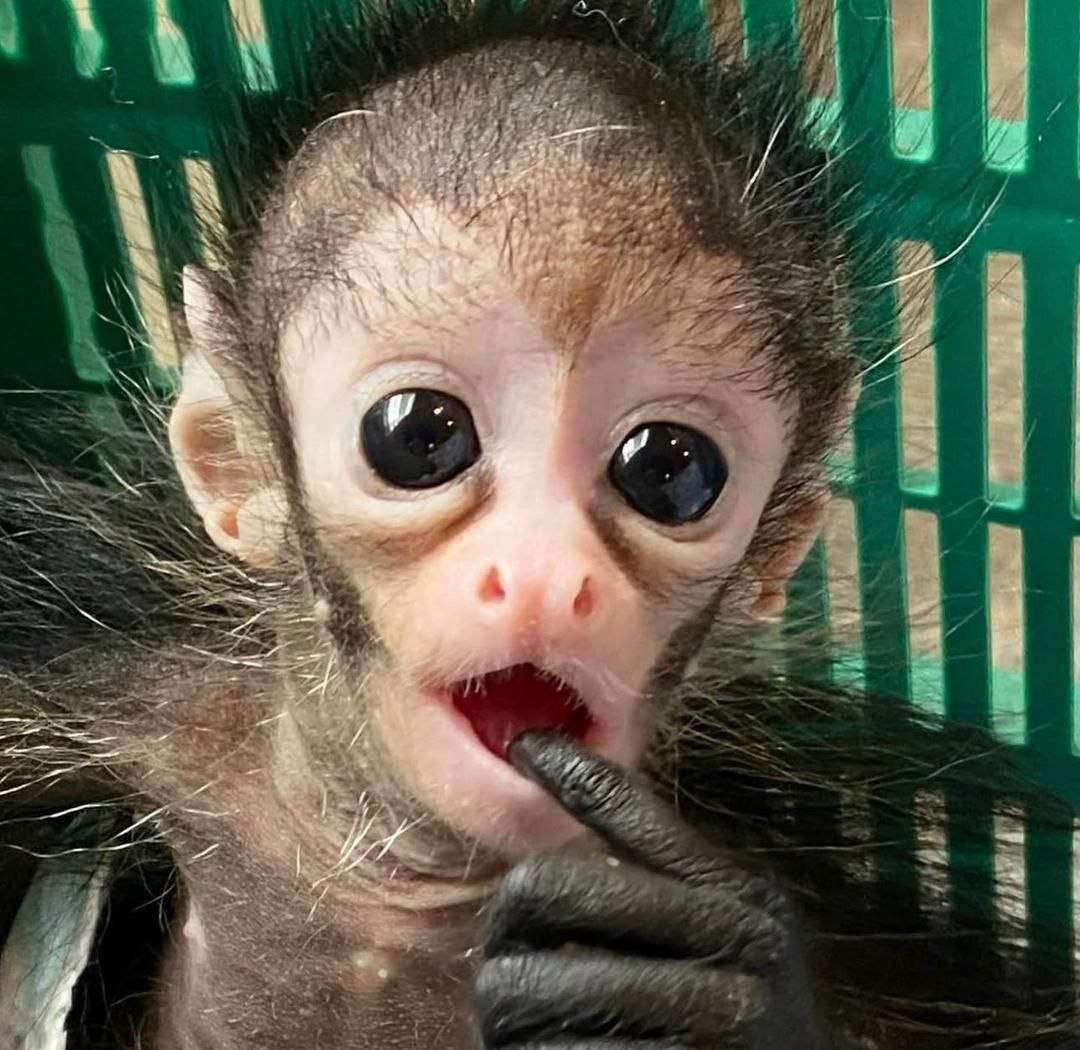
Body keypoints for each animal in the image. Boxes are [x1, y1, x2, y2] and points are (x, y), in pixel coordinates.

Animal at [0, 0, 1077, 1047]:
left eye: (671, 470)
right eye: (419, 436)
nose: (548, 575)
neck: (402, 872)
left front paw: (734, 989)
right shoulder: (132, 693)